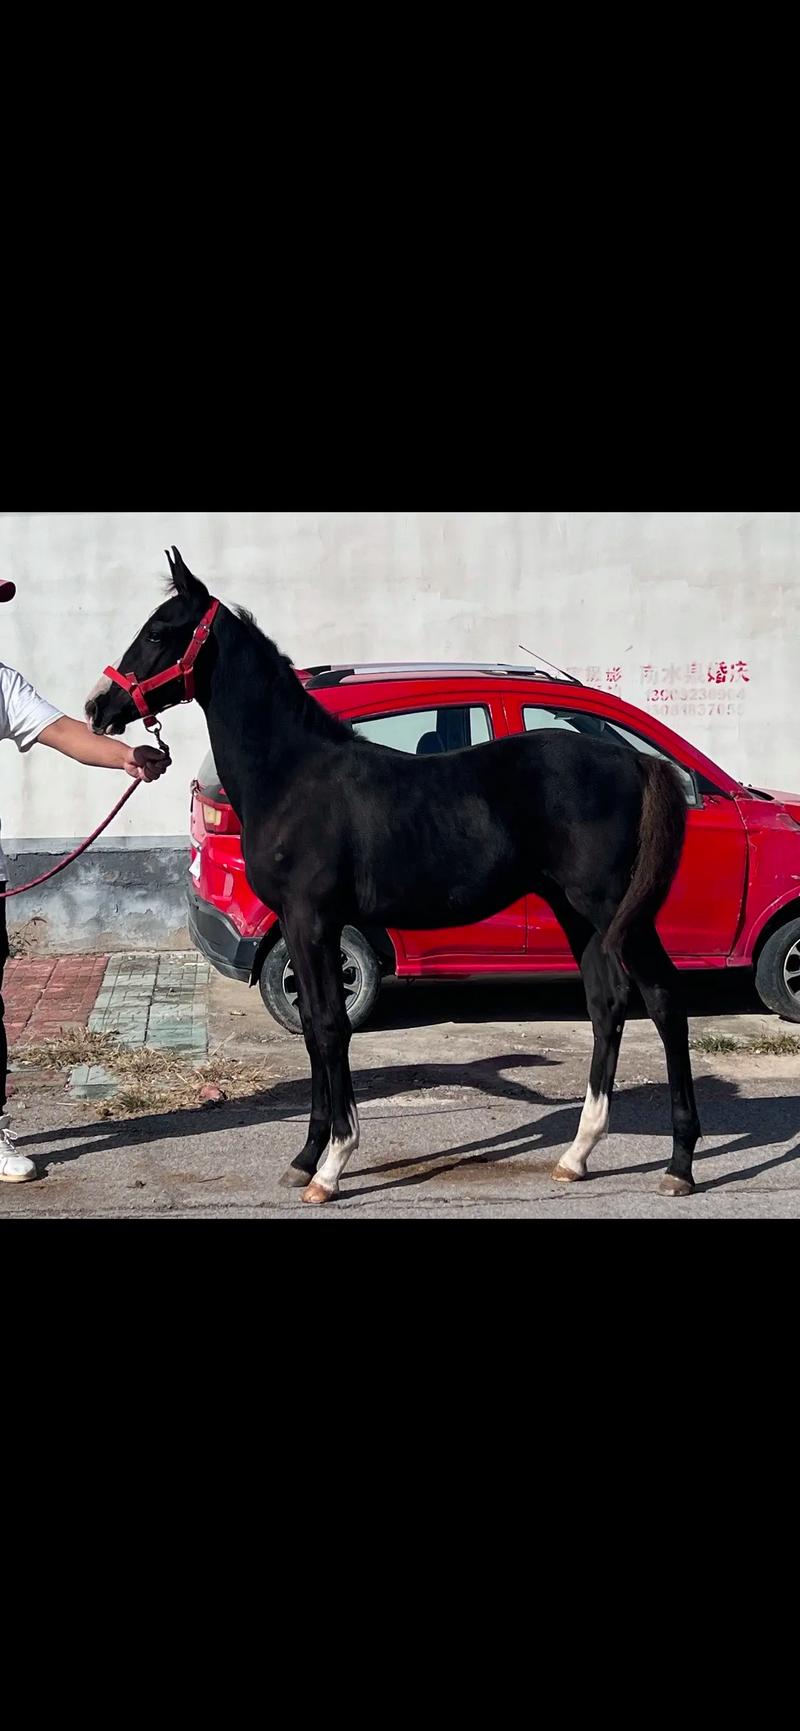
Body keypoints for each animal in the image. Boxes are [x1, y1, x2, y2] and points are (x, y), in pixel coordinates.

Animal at [86, 548, 701, 1205]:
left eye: (158, 632)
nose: (97, 707)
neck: (293, 775)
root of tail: (635, 760)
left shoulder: (312, 920)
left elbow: (331, 1028)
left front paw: (332, 1165)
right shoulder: (306, 928)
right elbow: (313, 1028)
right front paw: (306, 1156)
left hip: (614, 910)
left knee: (664, 998)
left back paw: (679, 1165)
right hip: (575, 909)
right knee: (607, 1003)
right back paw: (577, 1153)